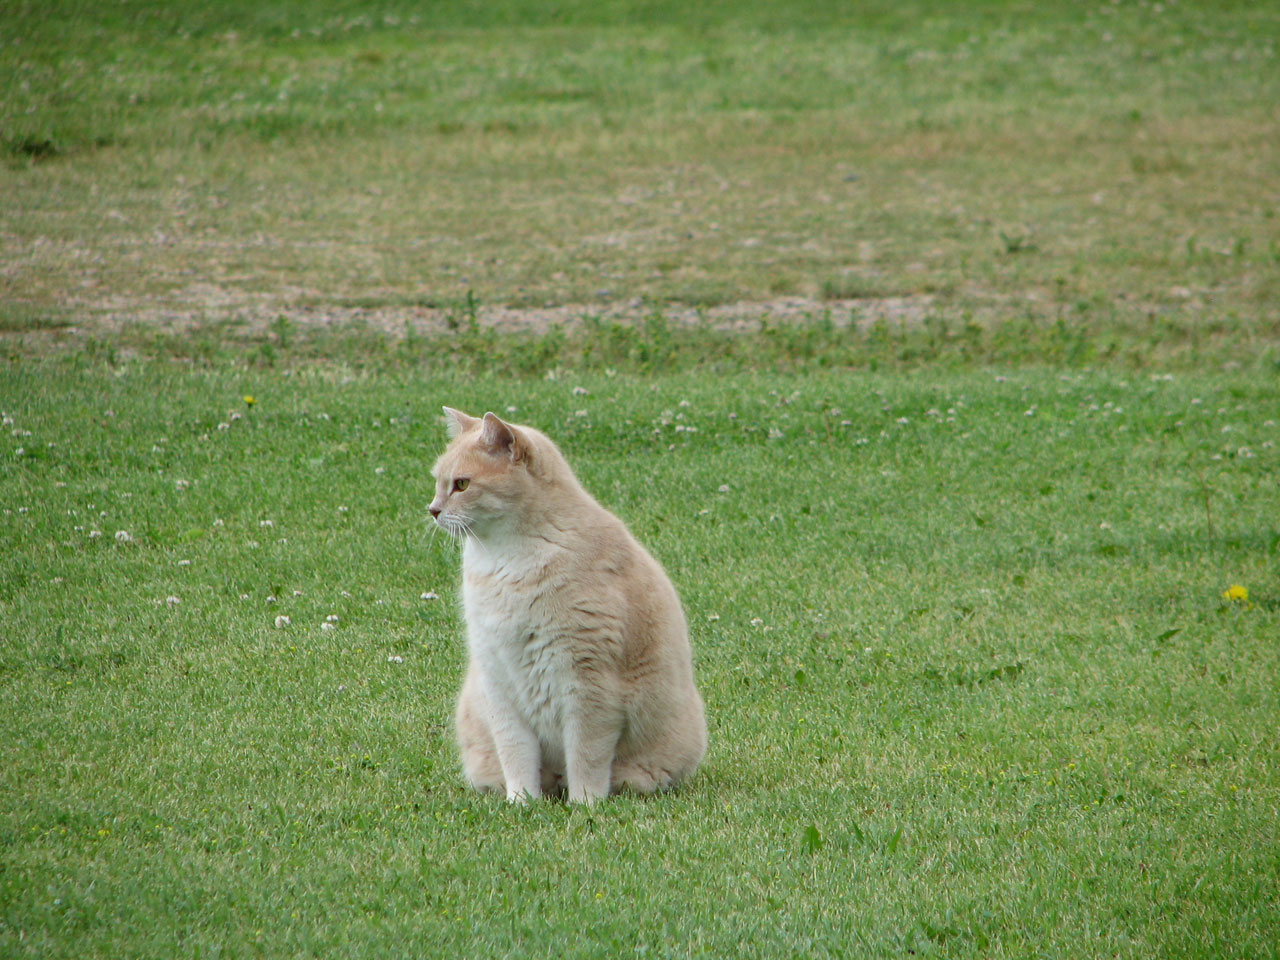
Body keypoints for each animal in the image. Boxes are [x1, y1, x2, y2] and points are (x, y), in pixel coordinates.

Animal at [430, 409, 711, 808]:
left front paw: (585, 806)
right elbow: (516, 754)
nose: (433, 510)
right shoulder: (499, 684)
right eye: (439, 483)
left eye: (462, 484)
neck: (507, 561)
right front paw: (521, 802)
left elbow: (586, 757)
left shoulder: (588, 687)